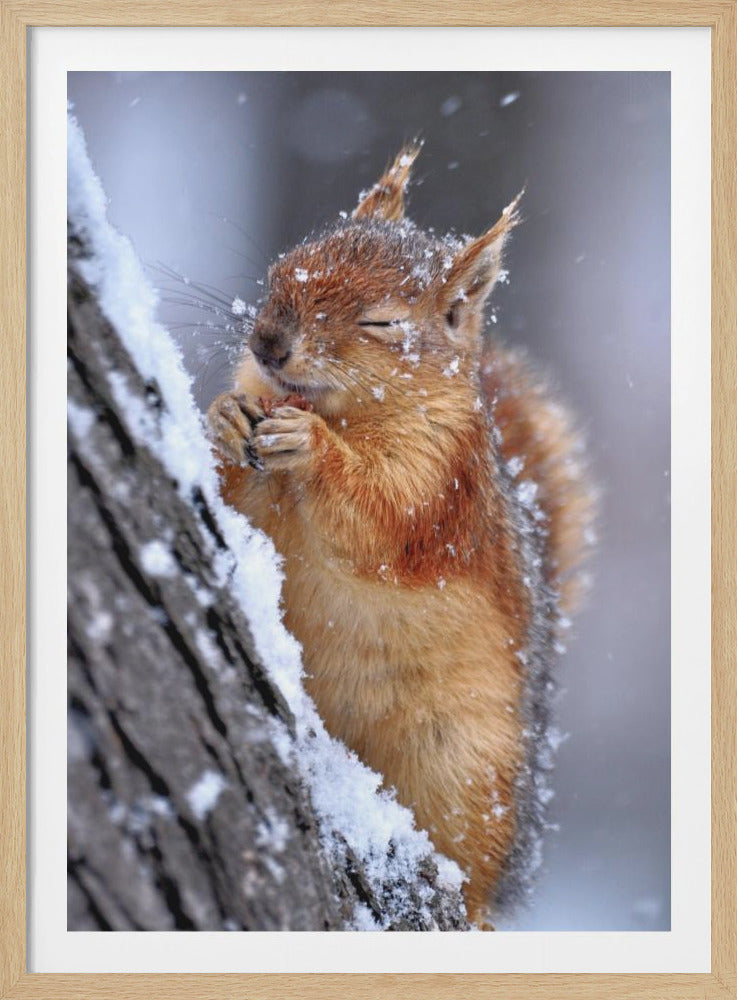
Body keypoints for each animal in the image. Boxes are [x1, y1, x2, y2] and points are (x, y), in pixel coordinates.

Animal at [207, 144, 594, 927]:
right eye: (286, 263)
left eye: (383, 323)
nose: (267, 342)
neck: (341, 411)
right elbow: (239, 488)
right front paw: (227, 415)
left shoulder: (439, 485)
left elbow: (379, 520)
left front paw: (314, 450)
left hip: (460, 764)